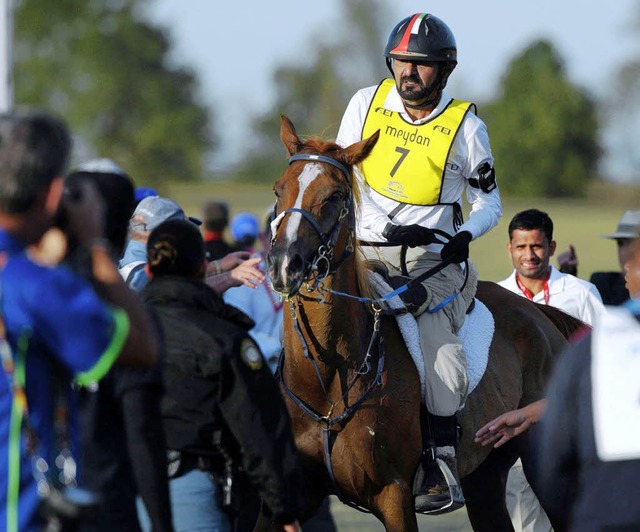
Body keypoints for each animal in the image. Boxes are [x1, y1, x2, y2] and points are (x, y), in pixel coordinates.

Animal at [264, 116, 580, 532]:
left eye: (335, 196)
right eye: (278, 189)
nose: (285, 265)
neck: (329, 376)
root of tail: (541, 317)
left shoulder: (394, 496)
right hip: (485, 473)